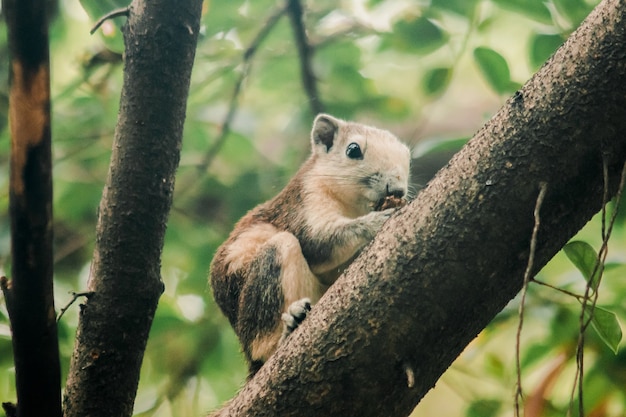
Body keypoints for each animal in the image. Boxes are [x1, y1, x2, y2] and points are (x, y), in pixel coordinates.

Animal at [208, 112, 410, 376]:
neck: (353, 205)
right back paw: (286, 331)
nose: (398, 189)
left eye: (408, 158)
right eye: (353, 150)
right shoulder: (304, 202)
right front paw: (375, 221)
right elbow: (317, 243)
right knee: (261, 345)